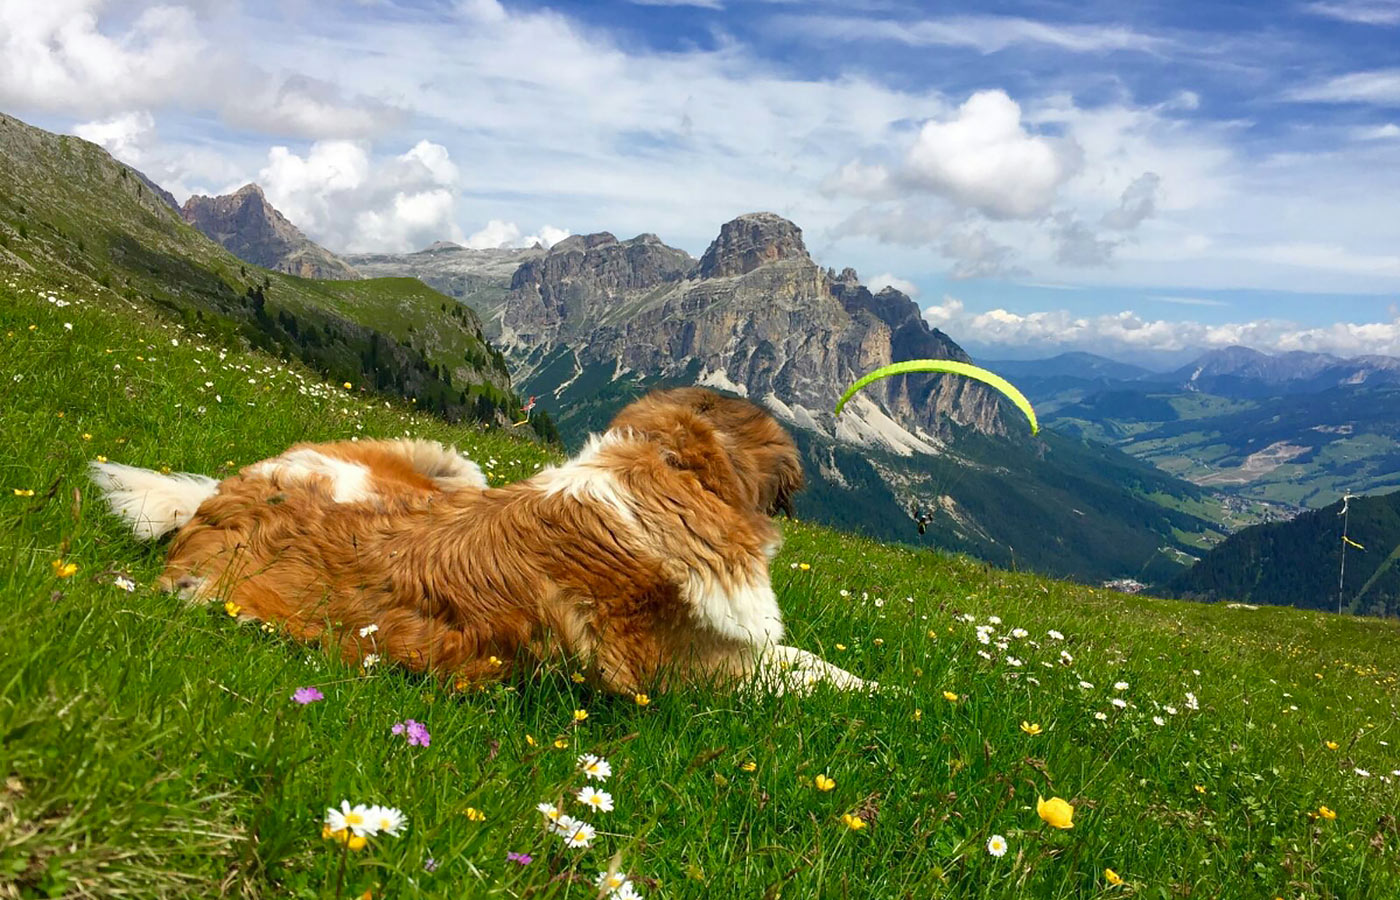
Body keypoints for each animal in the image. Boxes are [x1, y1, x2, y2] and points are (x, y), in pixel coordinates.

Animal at [90, 389, 873, 697]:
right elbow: (813, 673)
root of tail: (217, 500)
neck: (658, 473)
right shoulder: (700, 673)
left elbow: (808, 660)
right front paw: (884, 696)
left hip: (453, 466)